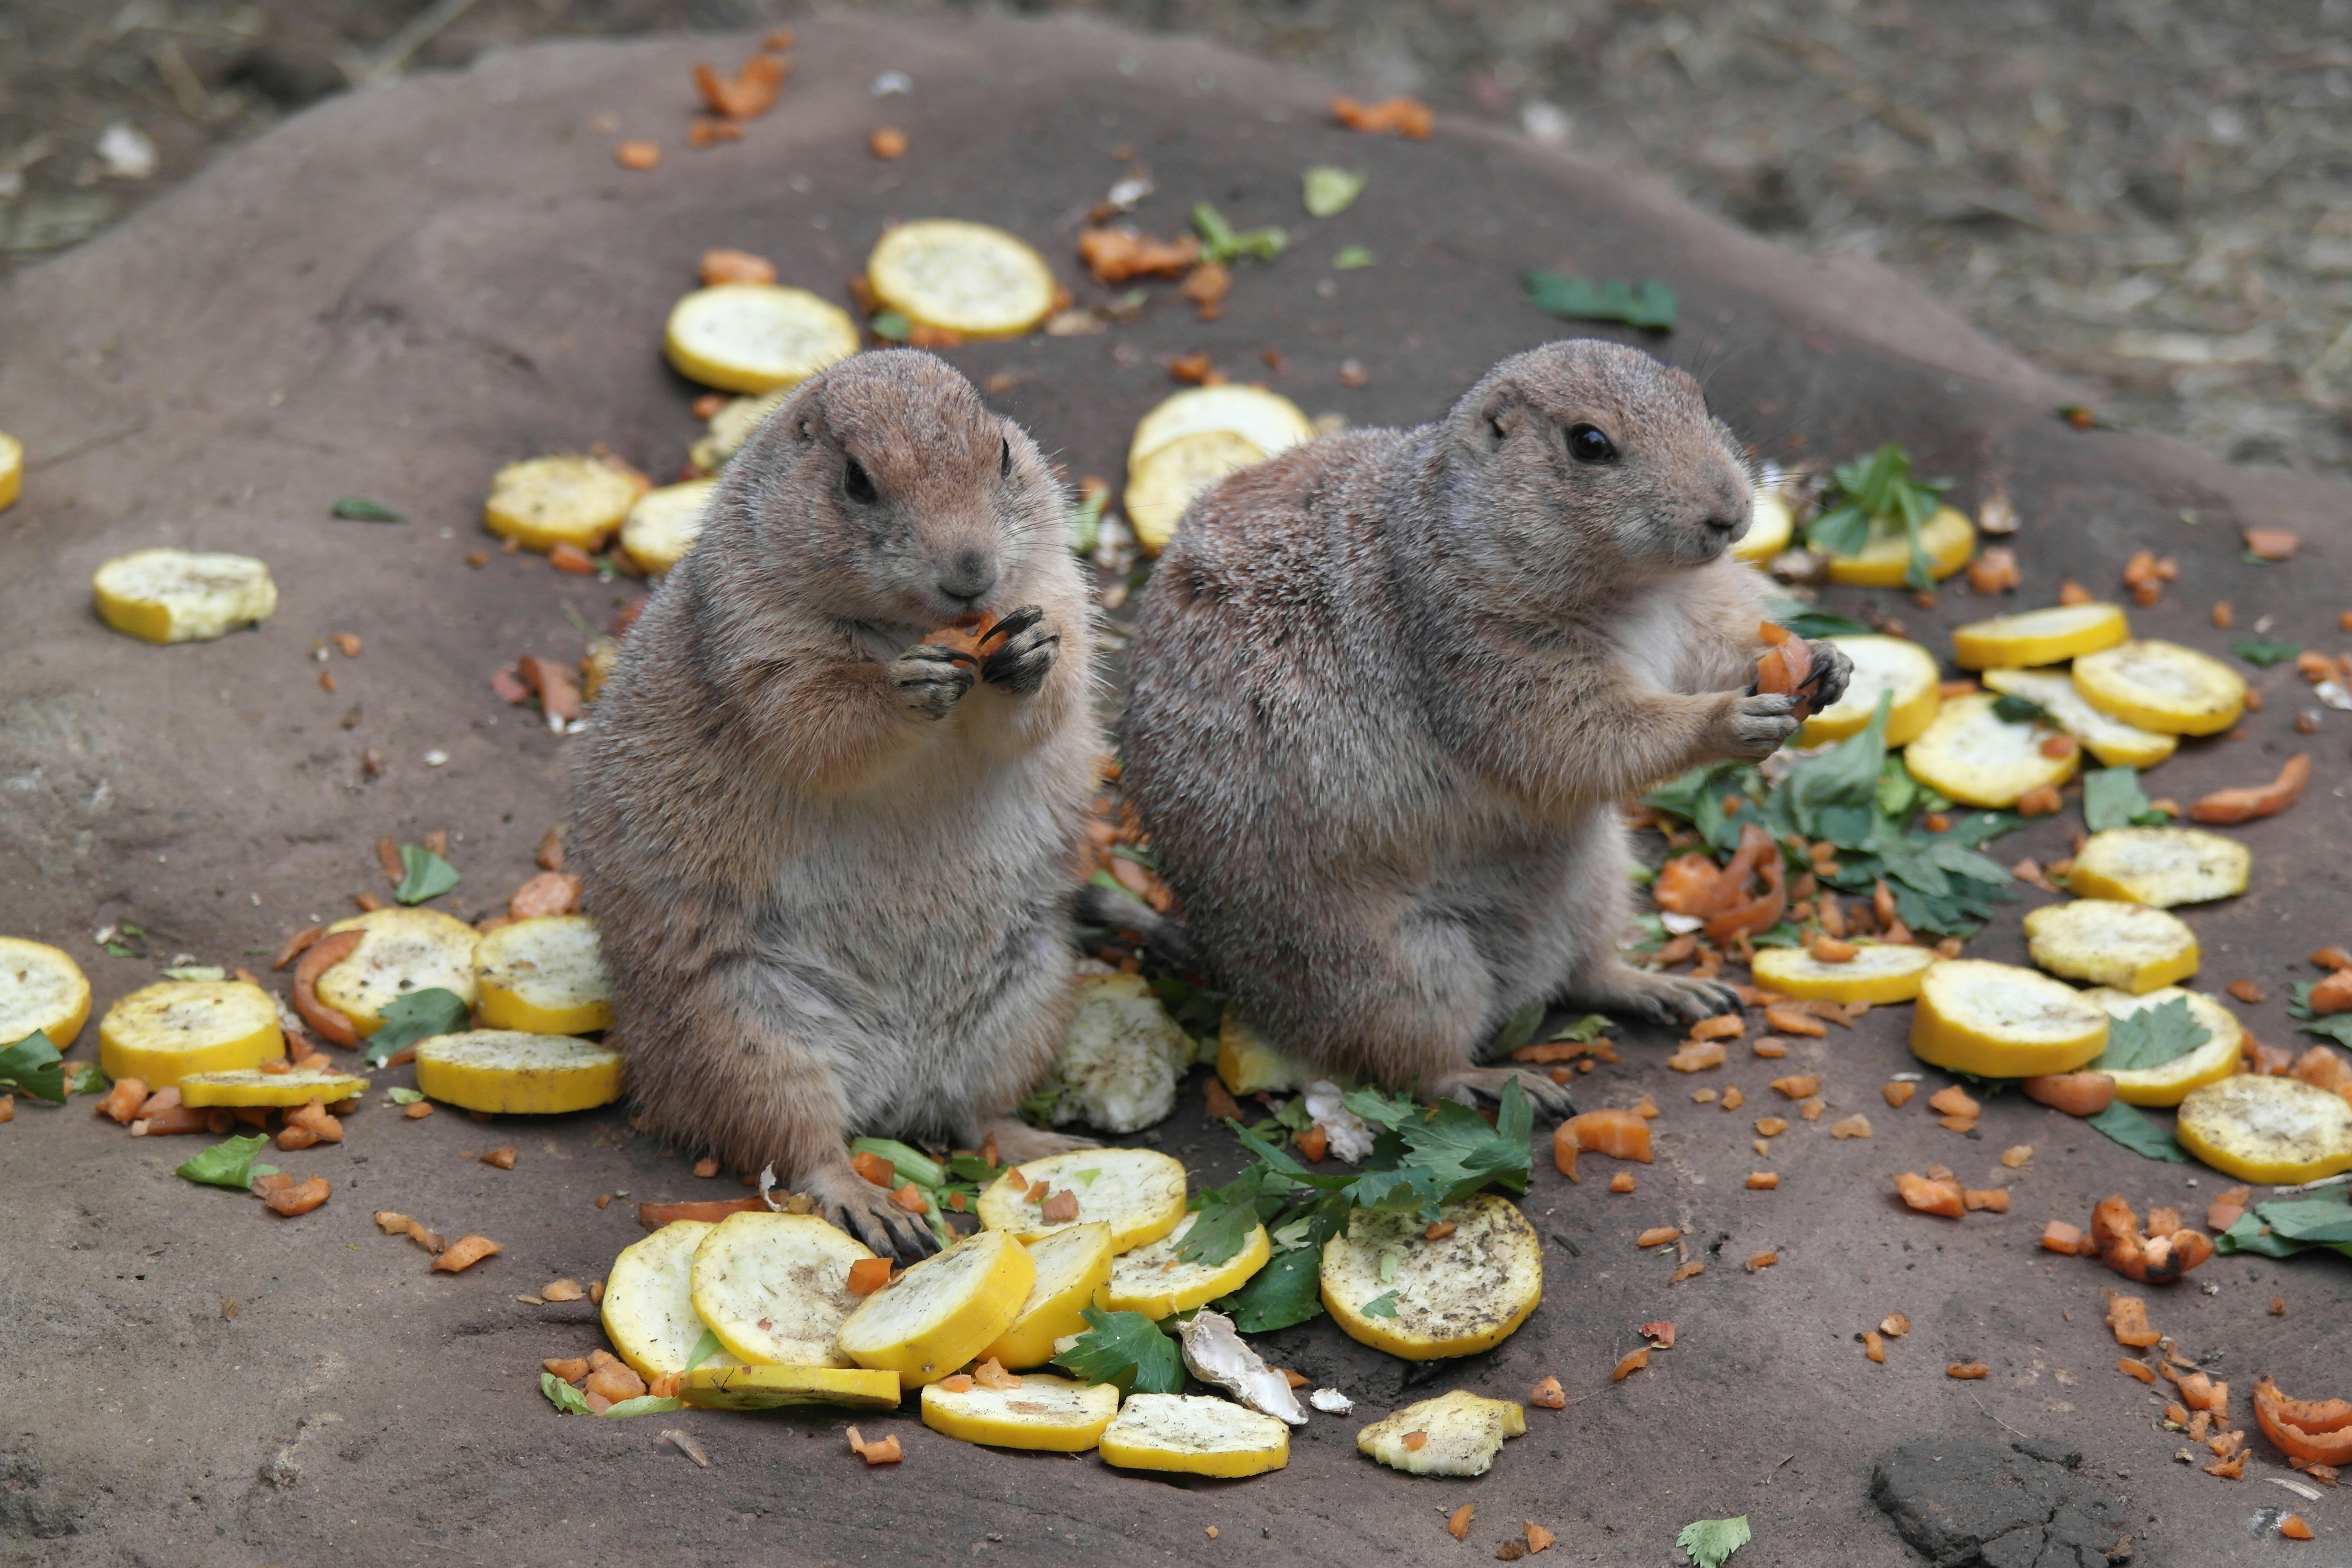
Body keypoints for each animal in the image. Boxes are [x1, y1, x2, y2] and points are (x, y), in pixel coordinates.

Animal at [569, 350, 1101, 1256]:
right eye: (856, 480)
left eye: (1002, 452)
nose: (972, 575)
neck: (911, 629)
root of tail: (900, 1081)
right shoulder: (757, 637)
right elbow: (819, 718)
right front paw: (901, 688)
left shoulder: (1056, 582)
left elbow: (1049, 699)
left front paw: (1030, 654)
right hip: (742, 1031)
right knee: (802, 1145)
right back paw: (873, 1202)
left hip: (1027, 998)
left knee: (977, 1116)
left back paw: (1042, 1146)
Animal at [1118, 338, 1850, 1111]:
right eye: (1588, 443)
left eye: (1698, 399)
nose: (1731, 512)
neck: (1639, 589)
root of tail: (1229, 972)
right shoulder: (1485, 653)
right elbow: (1578, 733)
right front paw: (1728, 719)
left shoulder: (1698, 609)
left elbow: (1727, 644)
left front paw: (1825, 661)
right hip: (1395, 968)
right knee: (1414, 1066)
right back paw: (1504, 1081)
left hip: (1600, 885)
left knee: (1582, 976)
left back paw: (1663, 987)